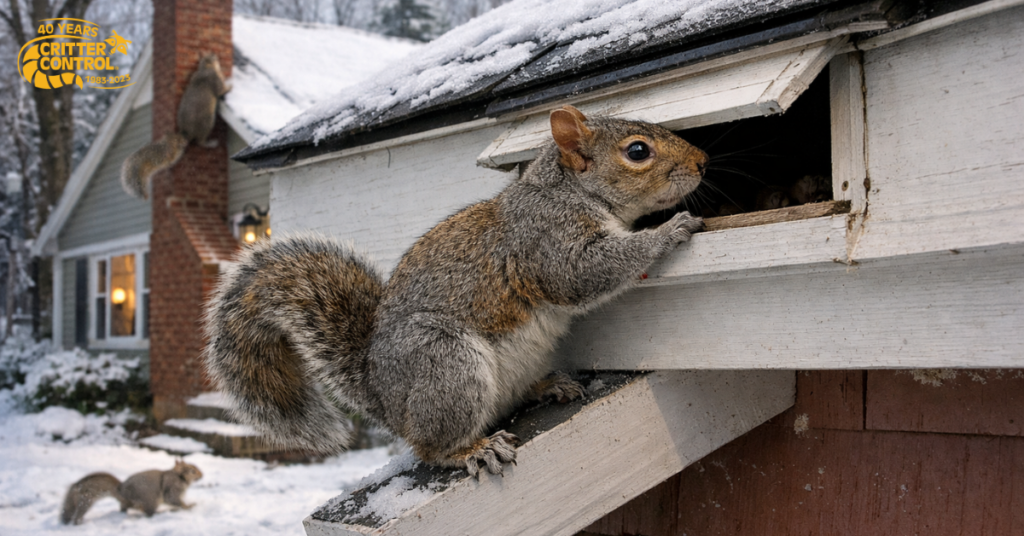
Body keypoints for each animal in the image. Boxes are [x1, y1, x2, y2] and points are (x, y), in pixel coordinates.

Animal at [60, 460, 203, 524]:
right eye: (192, 470)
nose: (202, 475)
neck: (180, 477)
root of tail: (121, 491)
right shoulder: (172, 489)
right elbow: (174, 500)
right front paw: (188, 506)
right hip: (150, 499)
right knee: (148, 512)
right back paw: (159, 513)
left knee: (125, 508)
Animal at [120, 53, 231, 199]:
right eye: (210, 56)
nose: (215, 55)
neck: (205, 68)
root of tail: (185, 134)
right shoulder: (214, 78)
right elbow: (221, 90)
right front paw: (230, 86)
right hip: (207, 122)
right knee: (200, 141)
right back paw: (210, 143)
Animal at [203, 105, 708, 477]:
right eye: (637, 151)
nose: (703, 161)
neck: (570, 192)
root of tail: (387, 401)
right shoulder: (545, 241)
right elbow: (581, 273)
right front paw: (668, 231)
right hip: (445, 362)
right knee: (431, 449)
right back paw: (472, 450)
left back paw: (548, 385)